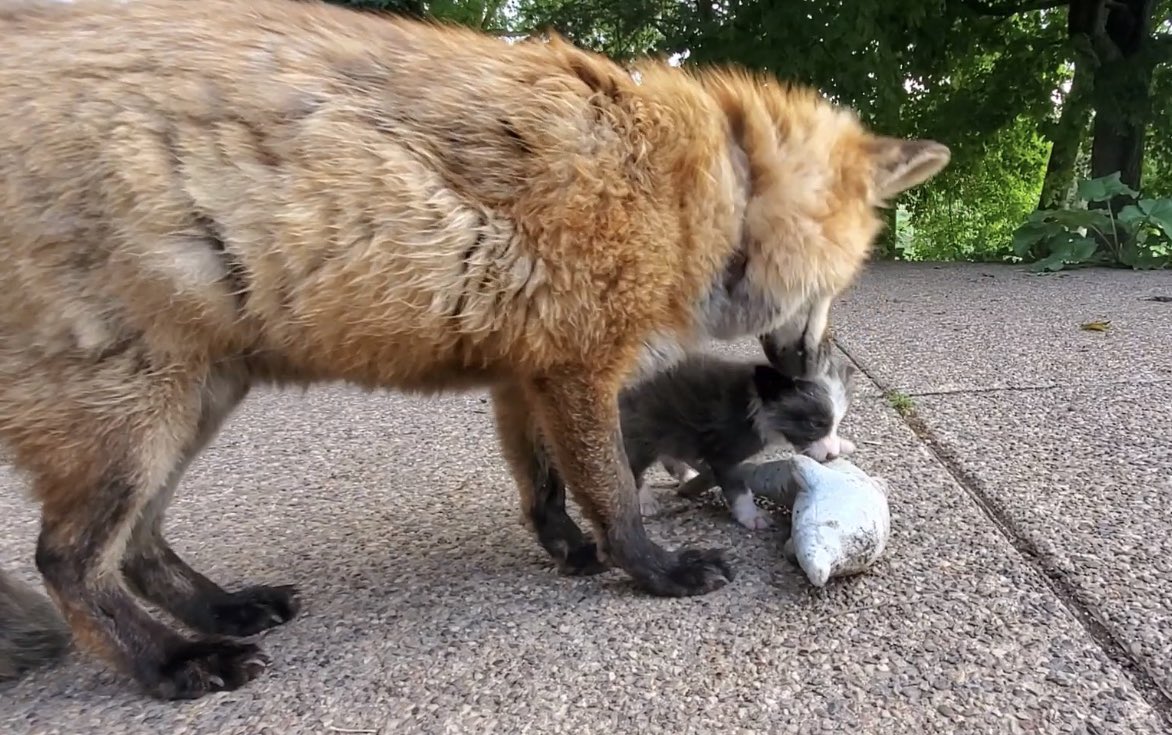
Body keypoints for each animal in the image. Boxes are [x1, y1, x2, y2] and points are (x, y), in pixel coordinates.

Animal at [0, 0, 949, 700]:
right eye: (842, 283)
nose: (806, 374)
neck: (701, 185)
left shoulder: (521, 373)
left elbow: (543, 487)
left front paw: (568, 550)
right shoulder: (577, 367)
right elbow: (614, 492)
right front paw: (652, 571)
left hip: (192, 402)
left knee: (140, 547)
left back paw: (224, 609)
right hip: (136, 415)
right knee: (68, 562)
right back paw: (170, 661)